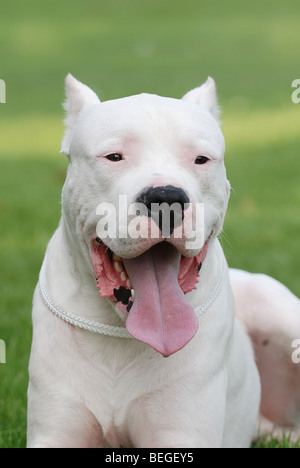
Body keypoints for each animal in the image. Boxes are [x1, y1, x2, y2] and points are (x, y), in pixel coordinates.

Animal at [27, 75, 298, 448]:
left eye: (201, 159)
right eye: (114, 156)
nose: (166, 198)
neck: (121, 333)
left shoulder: (181, 435)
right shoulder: (54, 433)